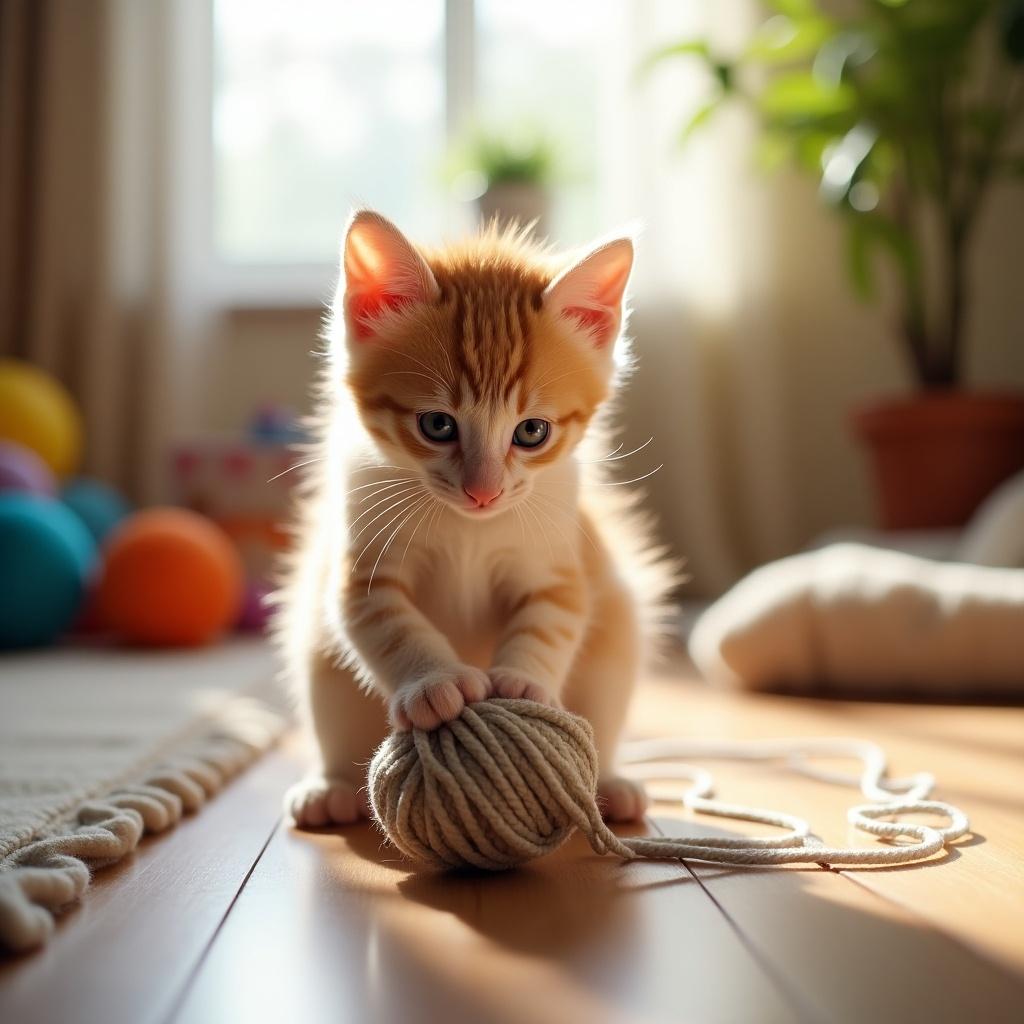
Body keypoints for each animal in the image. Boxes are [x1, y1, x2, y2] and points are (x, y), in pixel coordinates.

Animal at [276, 211, 675, 827]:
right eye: (437, 424)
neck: (470, 528)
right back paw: (330, 786)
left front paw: (524, 681)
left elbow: (553, 617)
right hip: (319, 664)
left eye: (531, 432)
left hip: (618, 634)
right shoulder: (359, 562)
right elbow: (386, 621)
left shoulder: (560, 561)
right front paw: (433, 683)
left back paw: (610, 784)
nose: (482, 492)